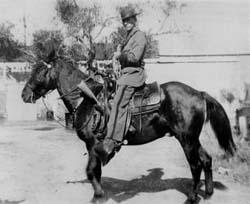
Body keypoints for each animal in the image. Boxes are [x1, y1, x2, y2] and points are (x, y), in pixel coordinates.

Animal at [21, 53, 236, 203]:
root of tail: (199, 93)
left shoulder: (92, 144)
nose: (24, 94)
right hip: (192, 139)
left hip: (186, 139)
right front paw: (99, 193)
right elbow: (96, 171)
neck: (85, 98)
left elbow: (91, 171)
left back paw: (192, 198)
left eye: (39, 72)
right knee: (206, 159)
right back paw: (208, 193)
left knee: (195, 165)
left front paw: (98, 195)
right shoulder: (95, 147)